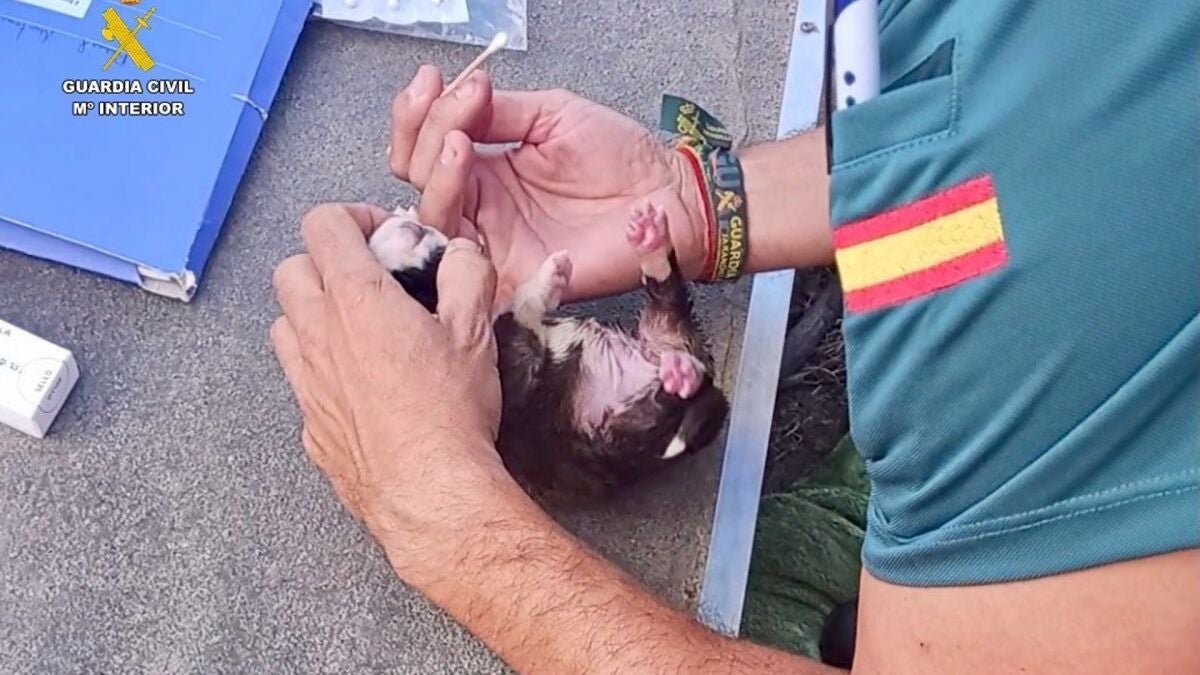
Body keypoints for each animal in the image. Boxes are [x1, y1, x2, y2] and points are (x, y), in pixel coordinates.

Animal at [368, 204, 729, 501]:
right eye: (406, 280)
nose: (409, 224)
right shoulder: (509, 359)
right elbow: (522, 305)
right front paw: (551, 276)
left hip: (668, 332)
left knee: (667, 295)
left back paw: (651, 242)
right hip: (610, 434)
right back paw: (680, 375)